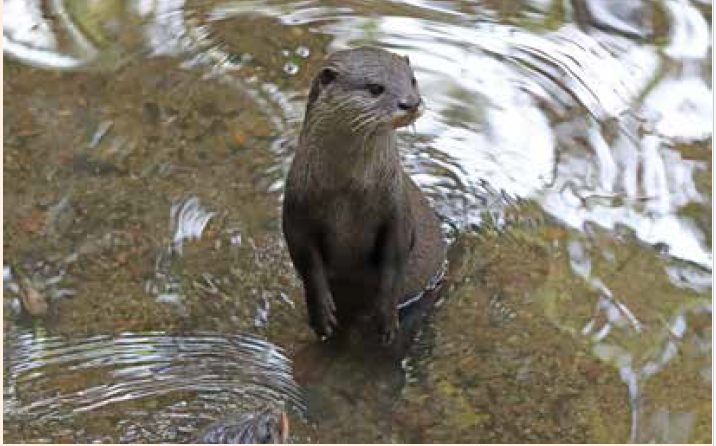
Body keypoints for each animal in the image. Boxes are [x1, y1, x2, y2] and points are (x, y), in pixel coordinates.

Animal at [282, 46, 446, 345]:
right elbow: (306, 260)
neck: (349, 191)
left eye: (413, 80)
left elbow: (395, 258)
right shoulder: (296, 208)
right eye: (375, 88)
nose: (411, 103)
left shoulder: (396, 208)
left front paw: (386, 317)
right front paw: (321, 315)